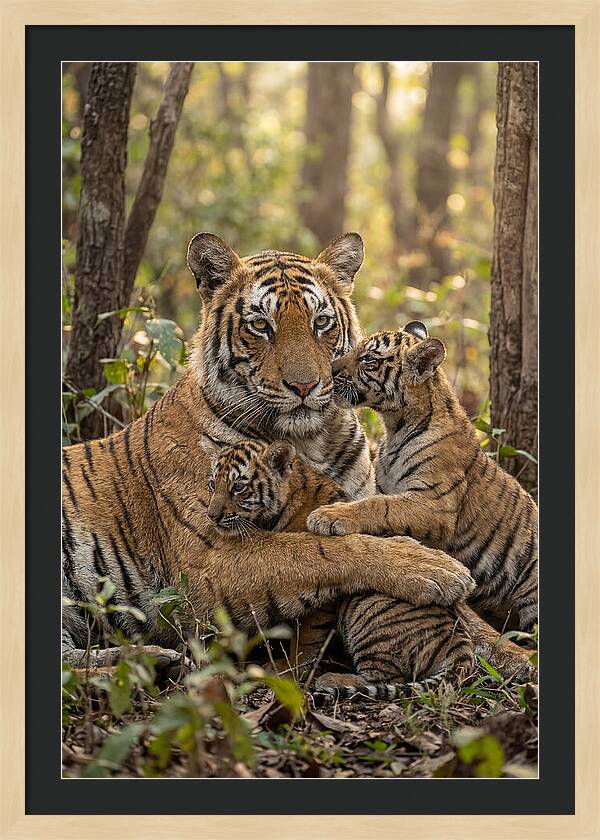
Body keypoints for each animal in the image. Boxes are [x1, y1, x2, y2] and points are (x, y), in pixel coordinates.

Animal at [62, 234, 476, 670]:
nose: (305, 385)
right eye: (261, 325)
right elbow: (317, 549)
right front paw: (435, 568)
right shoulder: (210, 560)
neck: (310, 441)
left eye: (321, 322)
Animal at [307, 321, 538, 635]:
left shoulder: (435, 503)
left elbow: (380, 506)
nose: (329, 369)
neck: (395, 426)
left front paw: (329, 515)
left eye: (368, 359)